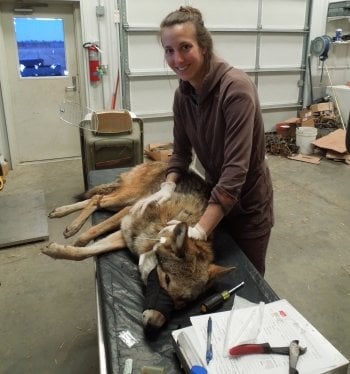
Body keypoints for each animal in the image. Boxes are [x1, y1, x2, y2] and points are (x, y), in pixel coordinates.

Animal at [43, 161, 234, 336]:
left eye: (183, 303)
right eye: (166, 280)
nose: (153, 327)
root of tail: (156, 161)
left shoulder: (126, 236)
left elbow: (86, 251)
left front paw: (60, 250)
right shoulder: (127, 217)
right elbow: (91, 233)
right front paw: (70, 243)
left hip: (121, 203)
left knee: (94, 198)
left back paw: (62, 212)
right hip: (125, 200)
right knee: (97, 198)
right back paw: (72, 223)